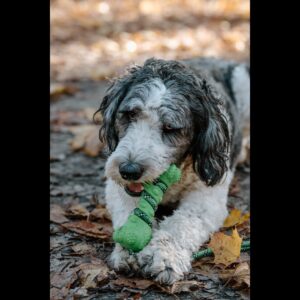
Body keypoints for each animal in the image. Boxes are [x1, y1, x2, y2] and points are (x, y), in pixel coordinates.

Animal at [95, 57, 250, 284]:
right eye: (130, 114)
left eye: (170, 128)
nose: (129, 170)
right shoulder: (117, 189)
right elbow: (130, 211)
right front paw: (128, 251)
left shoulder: (207, 198)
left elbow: (182, 223)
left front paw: (164, 256)